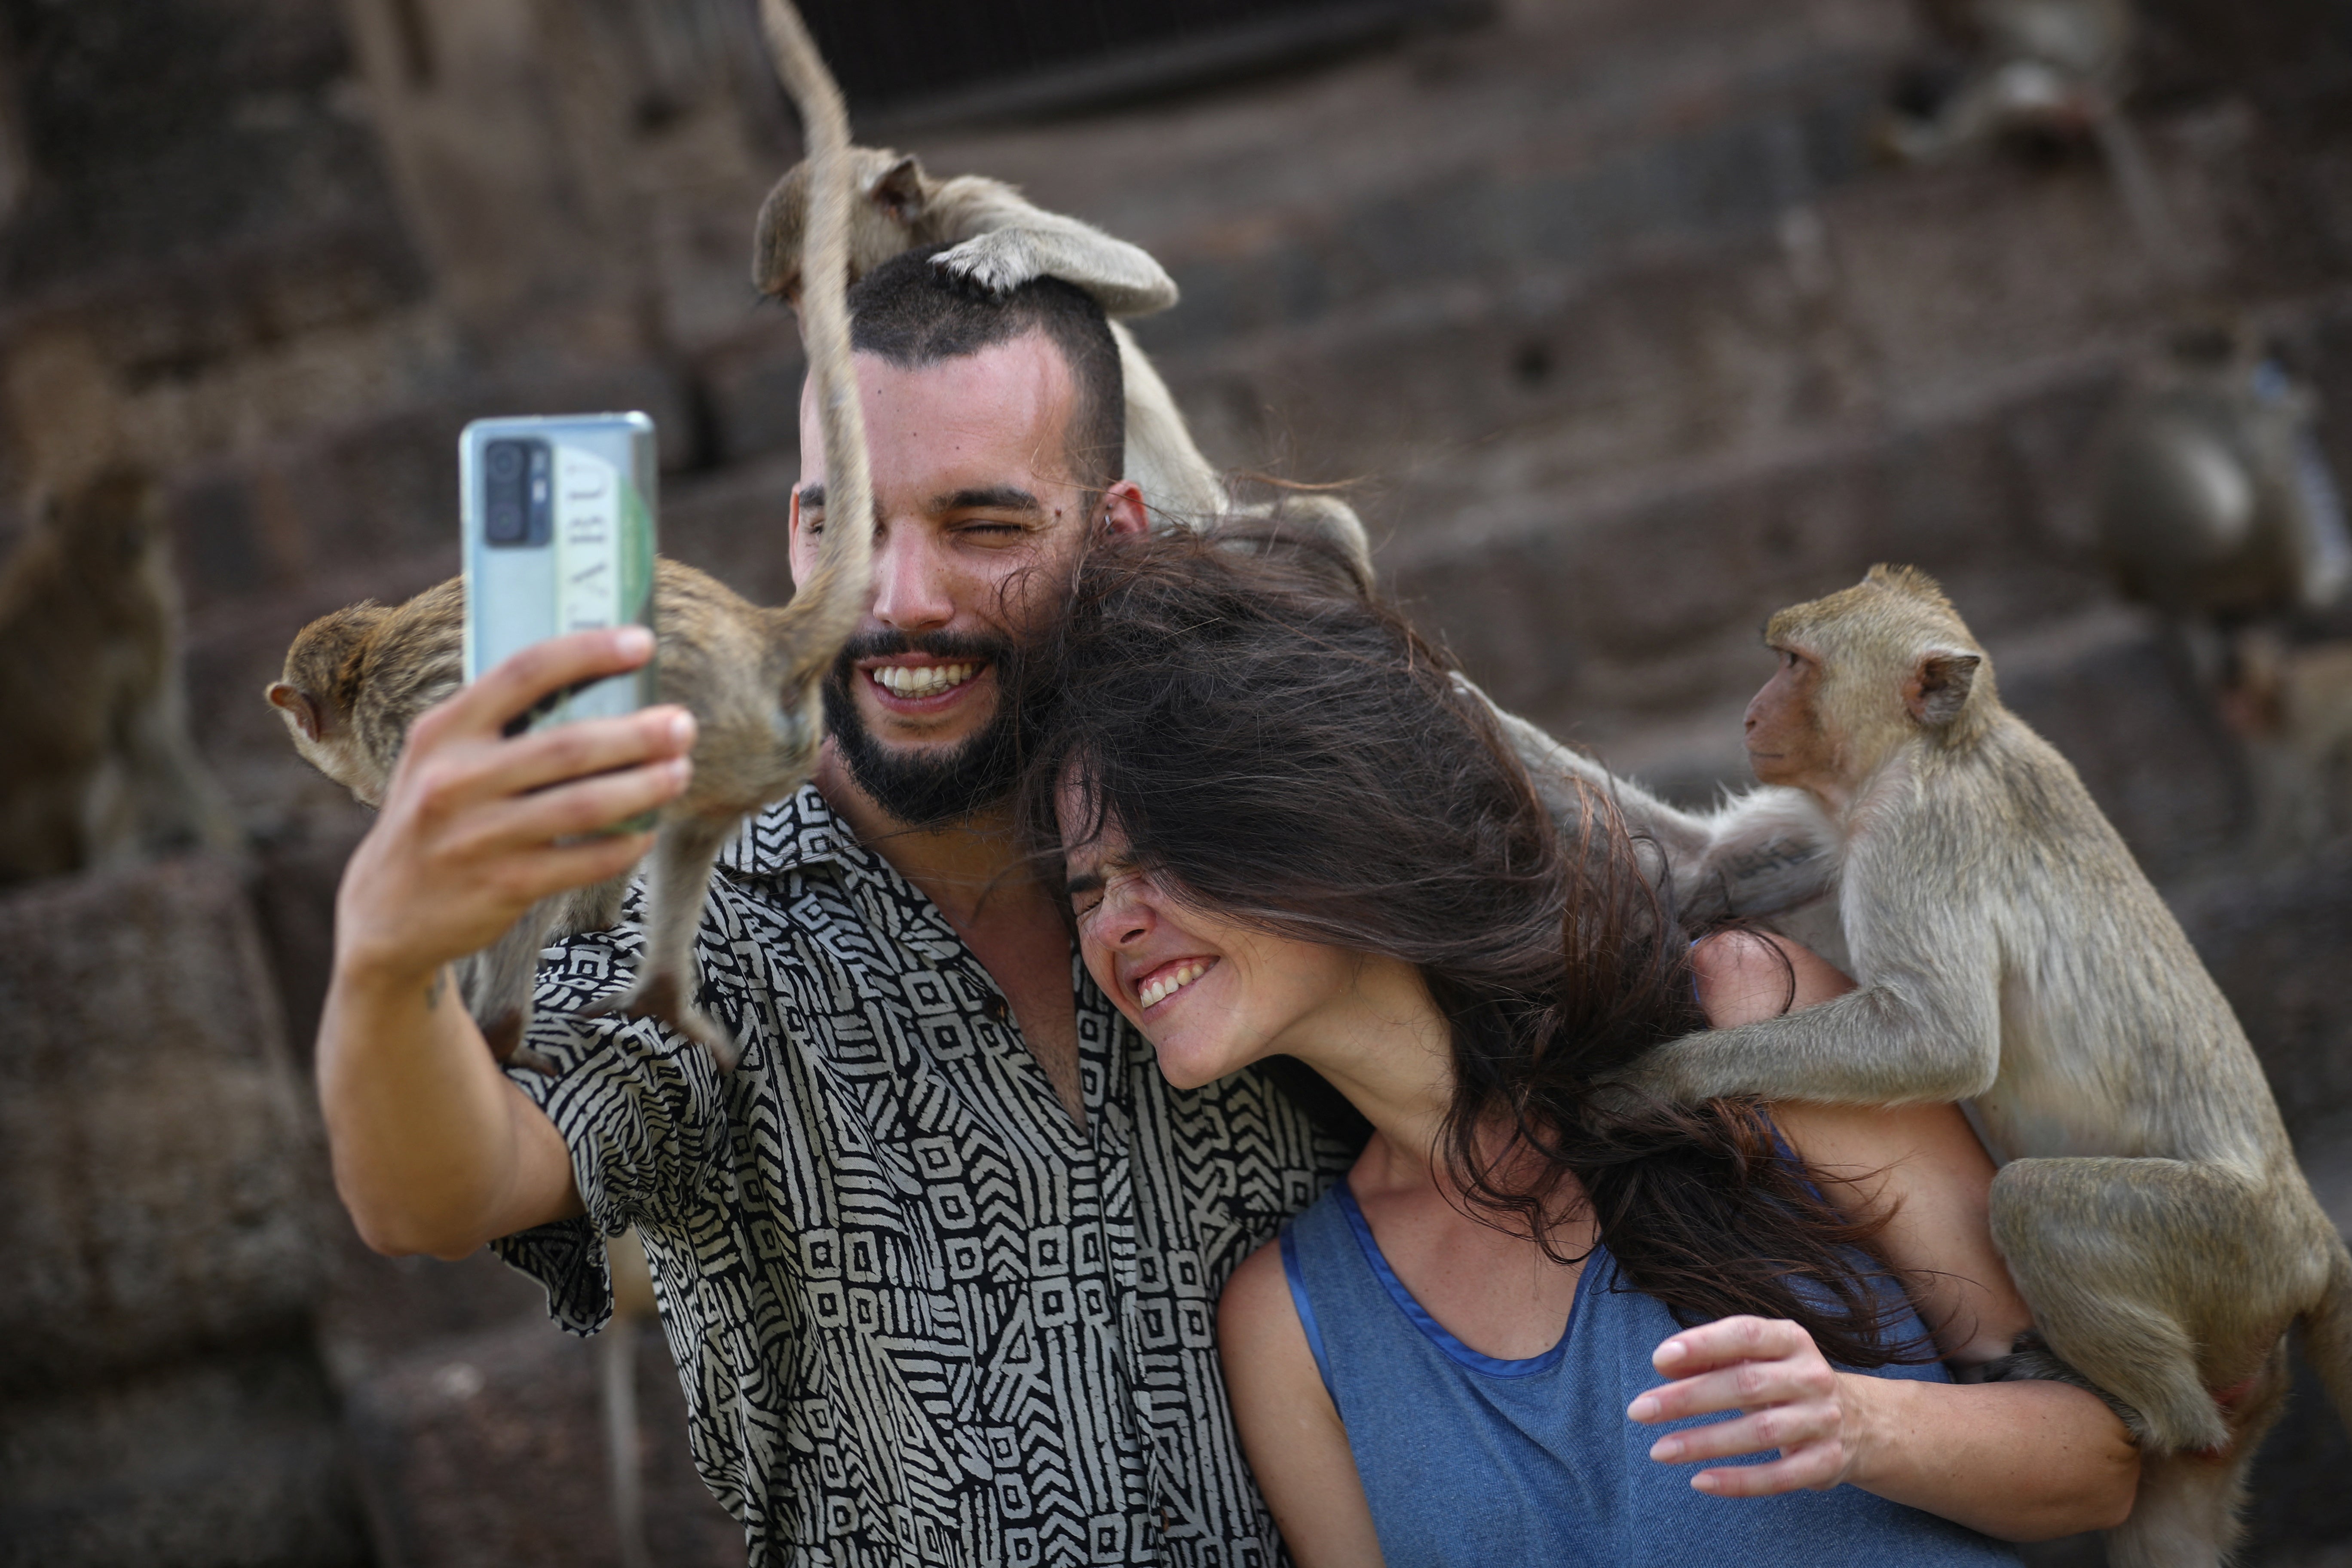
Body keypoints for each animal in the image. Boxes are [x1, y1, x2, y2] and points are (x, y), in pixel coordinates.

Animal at [1608, 564, 2343, 1568]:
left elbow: (1939, 1038)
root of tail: (2313, 1237)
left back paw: (2145, 1409)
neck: (1941, 745)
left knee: (2034, 1202)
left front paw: (1661, 1079)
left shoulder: (1913, 834)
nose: (1752, 715)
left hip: (2228, 1247)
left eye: (1794, 665)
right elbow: (1692, 872)